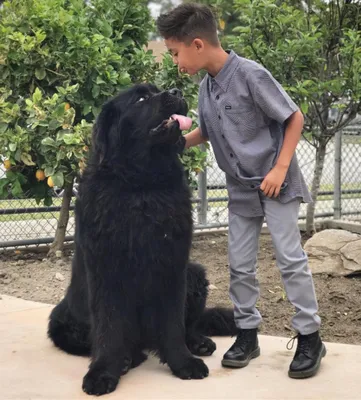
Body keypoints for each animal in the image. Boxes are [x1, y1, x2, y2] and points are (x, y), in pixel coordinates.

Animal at [47, 83, 236, 396]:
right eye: (141, 98)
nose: (176, 90)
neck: (143, 185)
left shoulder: (173, 266)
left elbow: (173, 324)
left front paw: (183, 362)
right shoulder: (107, 272)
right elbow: (109, 328)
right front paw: (103, 371)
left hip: (195, 274)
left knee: (190, 325)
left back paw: (197, 343)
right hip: (61, 322)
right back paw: (128, 358)